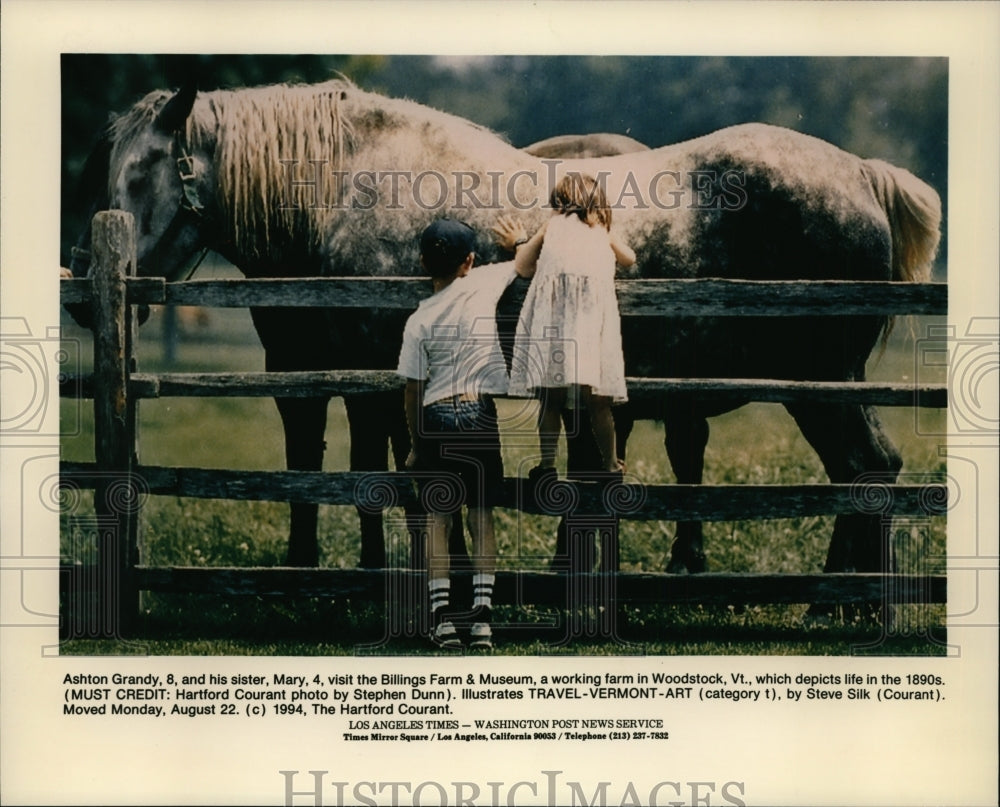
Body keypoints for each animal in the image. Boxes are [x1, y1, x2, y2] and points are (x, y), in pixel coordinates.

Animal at [62, 77, 936, 580]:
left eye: (138, 173)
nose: (78, 288)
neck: (351, 190)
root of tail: (863, 175)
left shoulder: (376, 383)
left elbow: (387, 478)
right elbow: (358, 476)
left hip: (815, 385)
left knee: (866, 466)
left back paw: (840, 601)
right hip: (818, 388)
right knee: (864, 470)